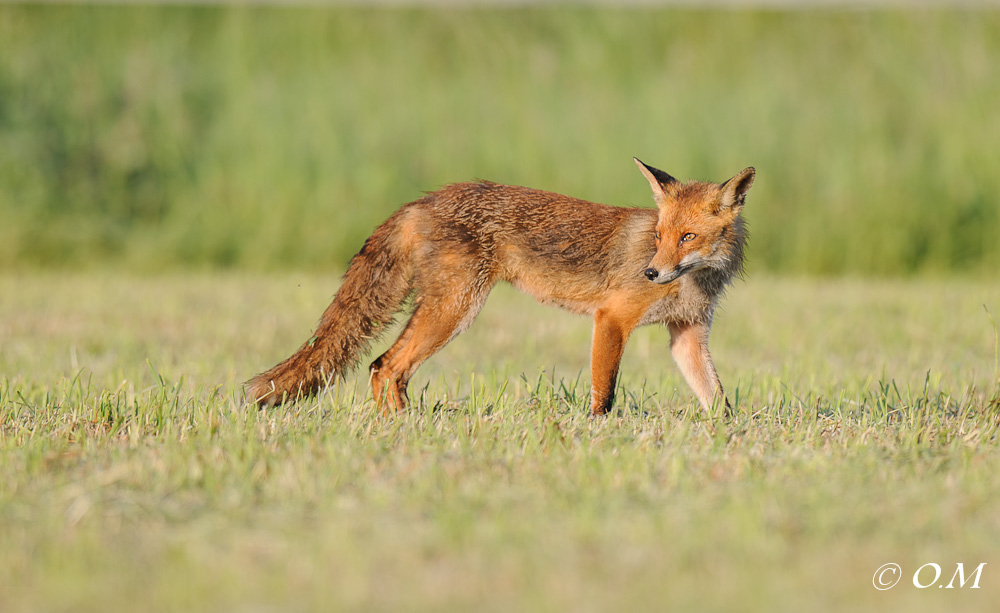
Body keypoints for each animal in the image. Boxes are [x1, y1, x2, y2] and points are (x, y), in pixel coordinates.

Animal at [247, 158, 754, 416]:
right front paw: (596, 435)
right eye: (658, 236)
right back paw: (404, 431)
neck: (693, 282)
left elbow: (718, 399)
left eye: (686, 237)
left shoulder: (687, 336)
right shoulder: (612, 319)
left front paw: (730, 439)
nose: (650, 273)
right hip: (457, 308)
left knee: (384, 368)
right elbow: (604, 395)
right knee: (384, 366)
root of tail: (424, 200)